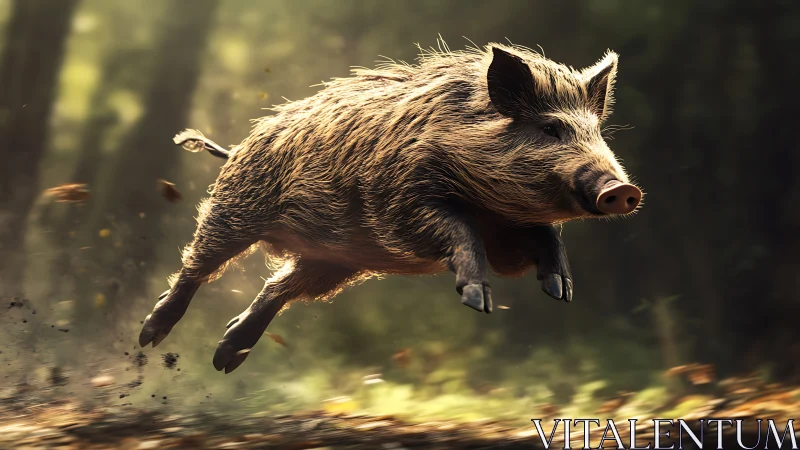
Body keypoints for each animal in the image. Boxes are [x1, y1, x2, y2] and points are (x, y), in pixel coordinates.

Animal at [138, 41, 643, 374]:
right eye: (549, 129)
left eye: (596, 132)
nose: (622, 189)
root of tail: (239, 146)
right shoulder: (399, 207)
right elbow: (460, 232)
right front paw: (478, 301)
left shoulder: (509, 228)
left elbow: (545, 235)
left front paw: (561, 292)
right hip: (236, 208)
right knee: (198, 265)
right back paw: (150, 335)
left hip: (333, 260)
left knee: (276, 287)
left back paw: (225, 359)